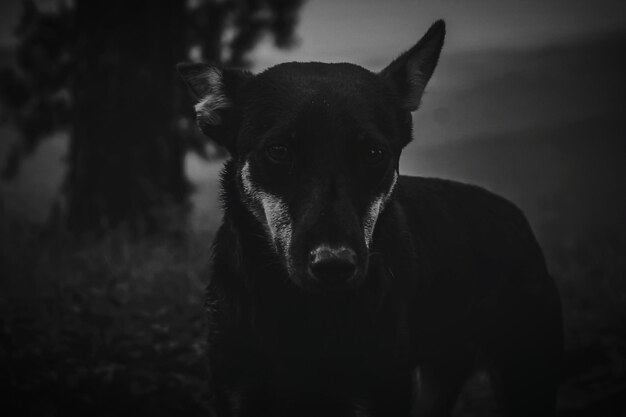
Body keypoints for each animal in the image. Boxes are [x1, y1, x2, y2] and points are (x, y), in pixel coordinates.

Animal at [178, 20, 564, 416]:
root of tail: (514, 216)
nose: (333, 265)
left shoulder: (377, 392)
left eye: (374, 153)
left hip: (523, 372)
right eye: (279, 151)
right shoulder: (240, 392)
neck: (303, 312)